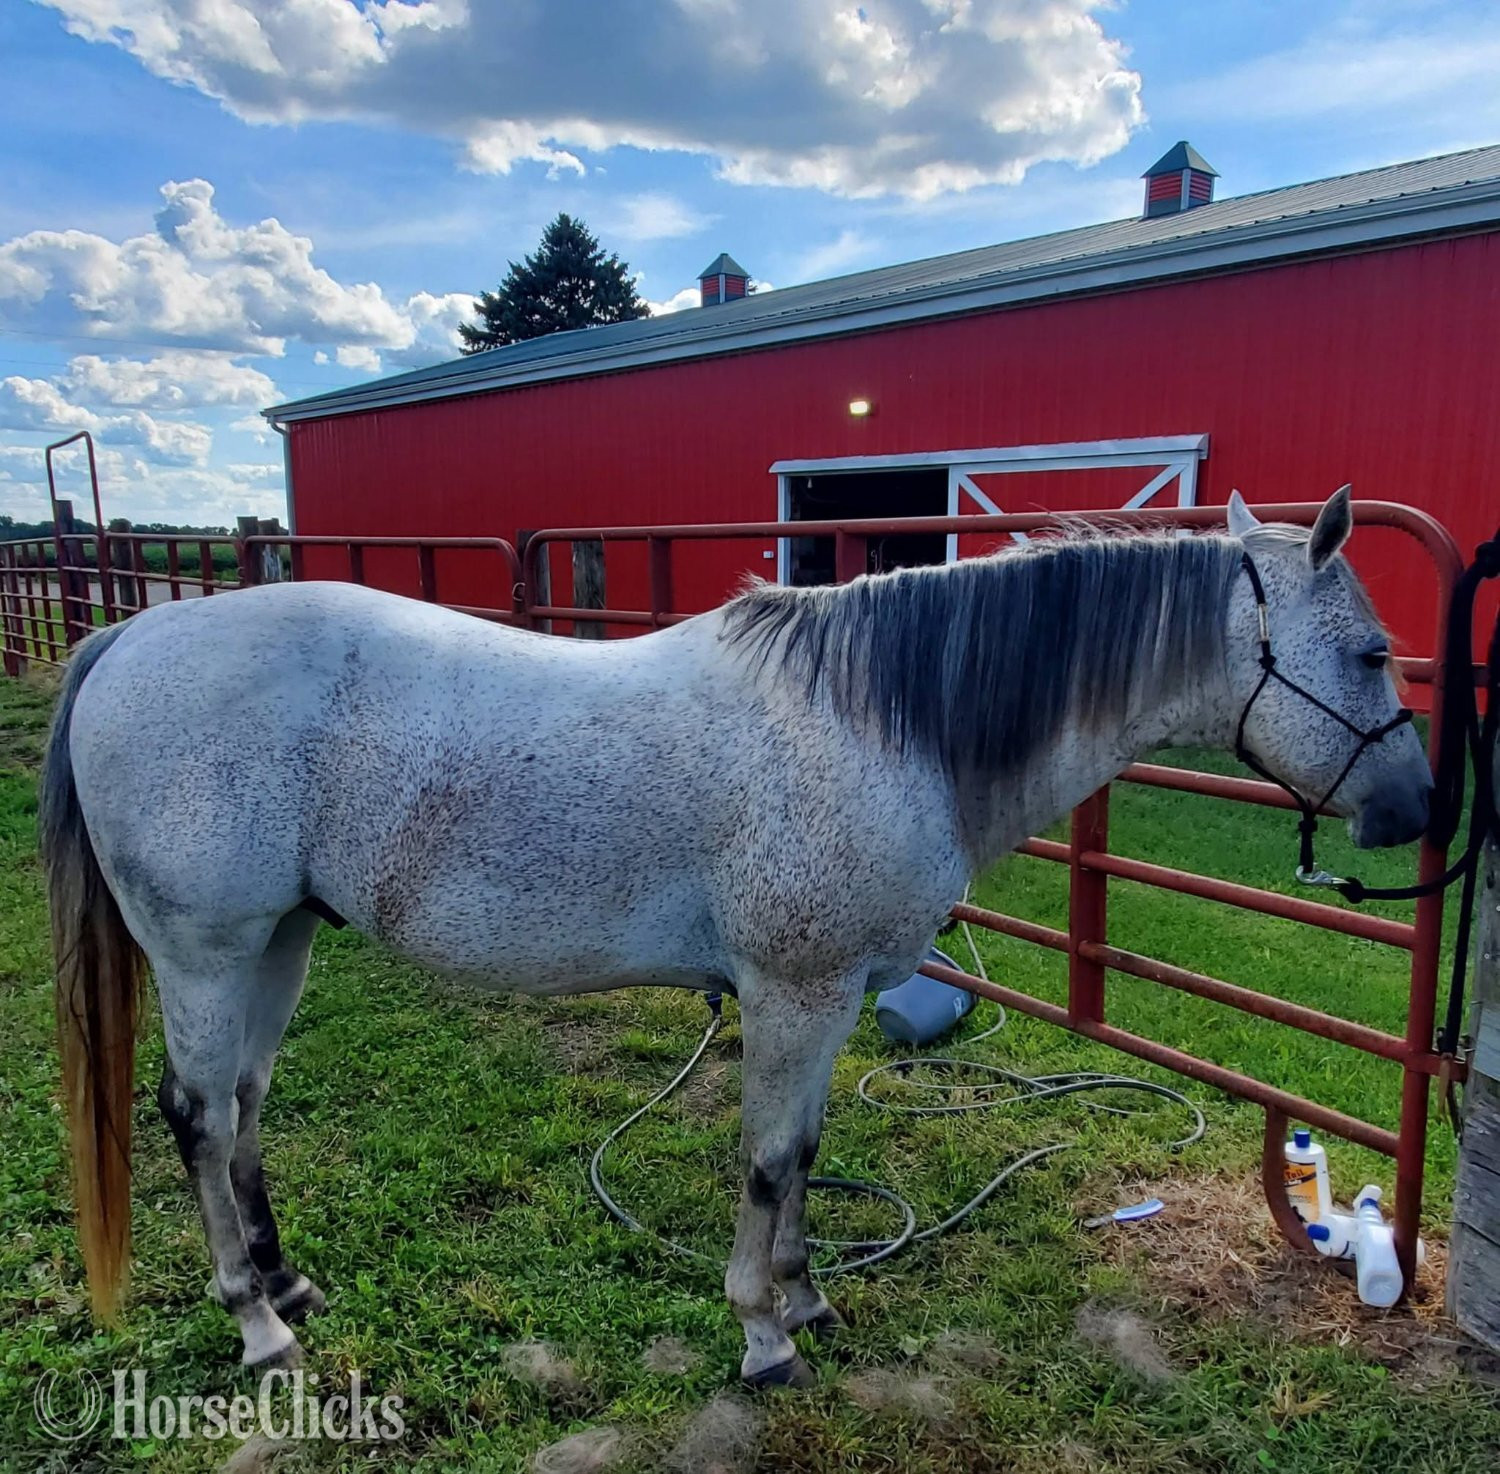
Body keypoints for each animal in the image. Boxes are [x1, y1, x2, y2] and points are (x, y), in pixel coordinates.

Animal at [39, 488, 1431, 1388]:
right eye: (1372, 653)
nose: (1418, 809)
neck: (881, 722)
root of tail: (126, 634)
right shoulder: (795, 992)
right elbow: (767, 1159)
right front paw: (765, 1334)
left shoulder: (831, 997)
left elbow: (806, 1152)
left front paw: (808, 1294)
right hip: (208, 952)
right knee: (198, 1116)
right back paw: (256, 1325)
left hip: (279, 940)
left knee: (247, 1107)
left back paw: (286, 1286)